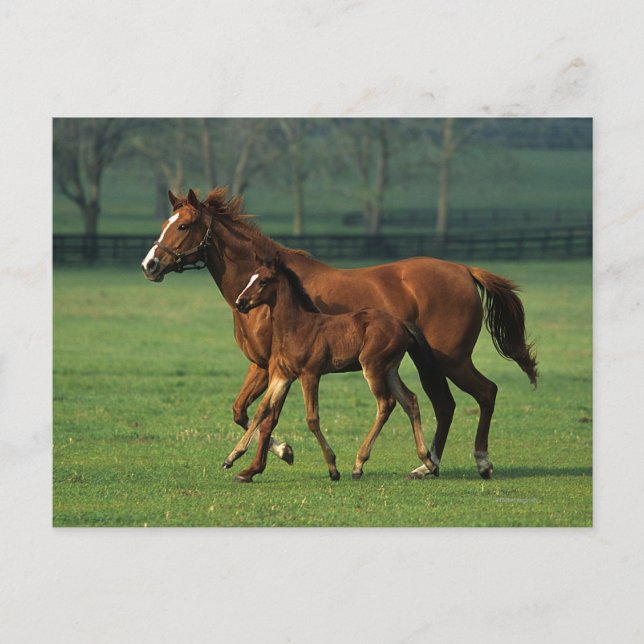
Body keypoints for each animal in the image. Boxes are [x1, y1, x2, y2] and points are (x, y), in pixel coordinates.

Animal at [221, 252, 439, 482]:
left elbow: (312, 418)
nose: (240, 303)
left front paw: (333, 467)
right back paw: (427, 461)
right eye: (250, 278)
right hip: (389, 370)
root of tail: (402, 324)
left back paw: (358, 464)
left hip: (373, 367)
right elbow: (261, 410)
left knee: (386, 404)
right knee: (410, 400)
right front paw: (231, 458)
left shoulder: (309, 375)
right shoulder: (282, 375)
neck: (296, 327)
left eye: (263, 281)